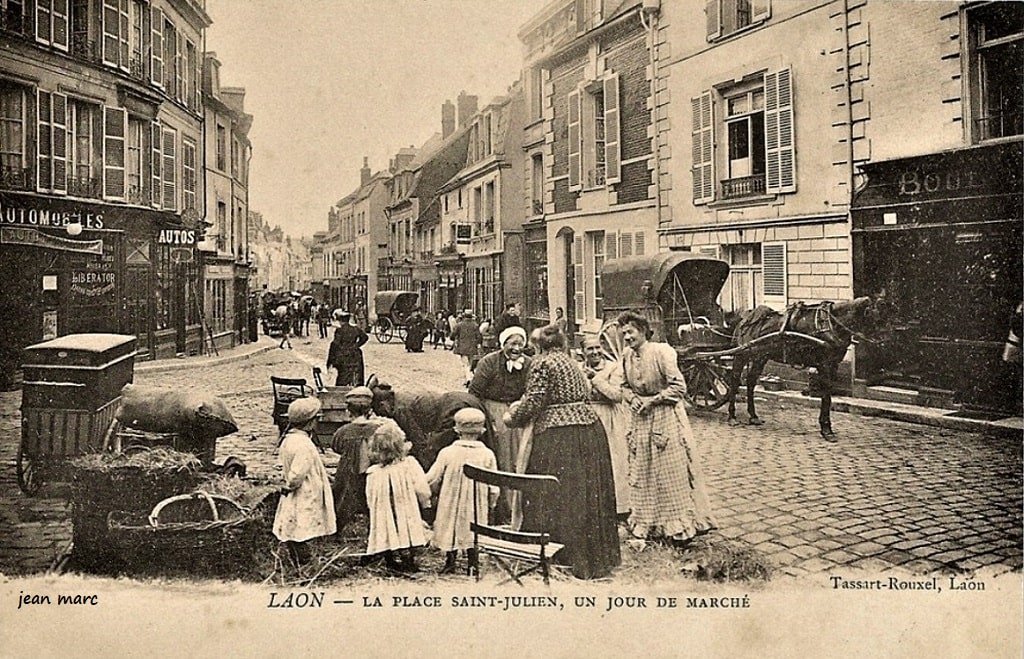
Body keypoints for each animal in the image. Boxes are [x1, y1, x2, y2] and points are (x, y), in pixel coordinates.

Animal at [729, 296, 888, 440]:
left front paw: (826, 427)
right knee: (734, 381)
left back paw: (753, 416)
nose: (885, 344)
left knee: (750, 382)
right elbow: (826, 396)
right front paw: (826, 429)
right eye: (875, 320)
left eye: (885, 318)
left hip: (760, 357)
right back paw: (732, 416)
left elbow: (827, 394)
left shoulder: (833, 365)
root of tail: (744, 320)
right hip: (741, 355)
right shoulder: (824, 364)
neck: (830, 323)